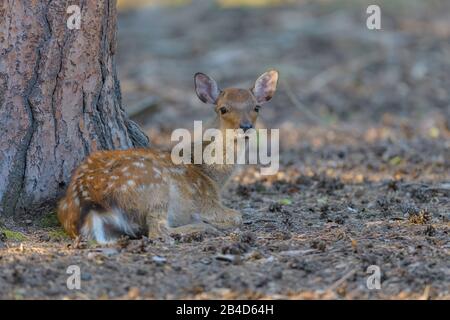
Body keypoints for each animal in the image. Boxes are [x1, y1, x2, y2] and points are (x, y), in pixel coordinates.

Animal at [58, 69, 280, 241]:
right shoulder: (207, 201)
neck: (212, 175)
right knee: (157, 231)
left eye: (256, 107)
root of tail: (90, 203)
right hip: (155, 189)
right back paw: (203, 227)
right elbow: (237, 215)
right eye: (223, 109)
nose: (246, 126)